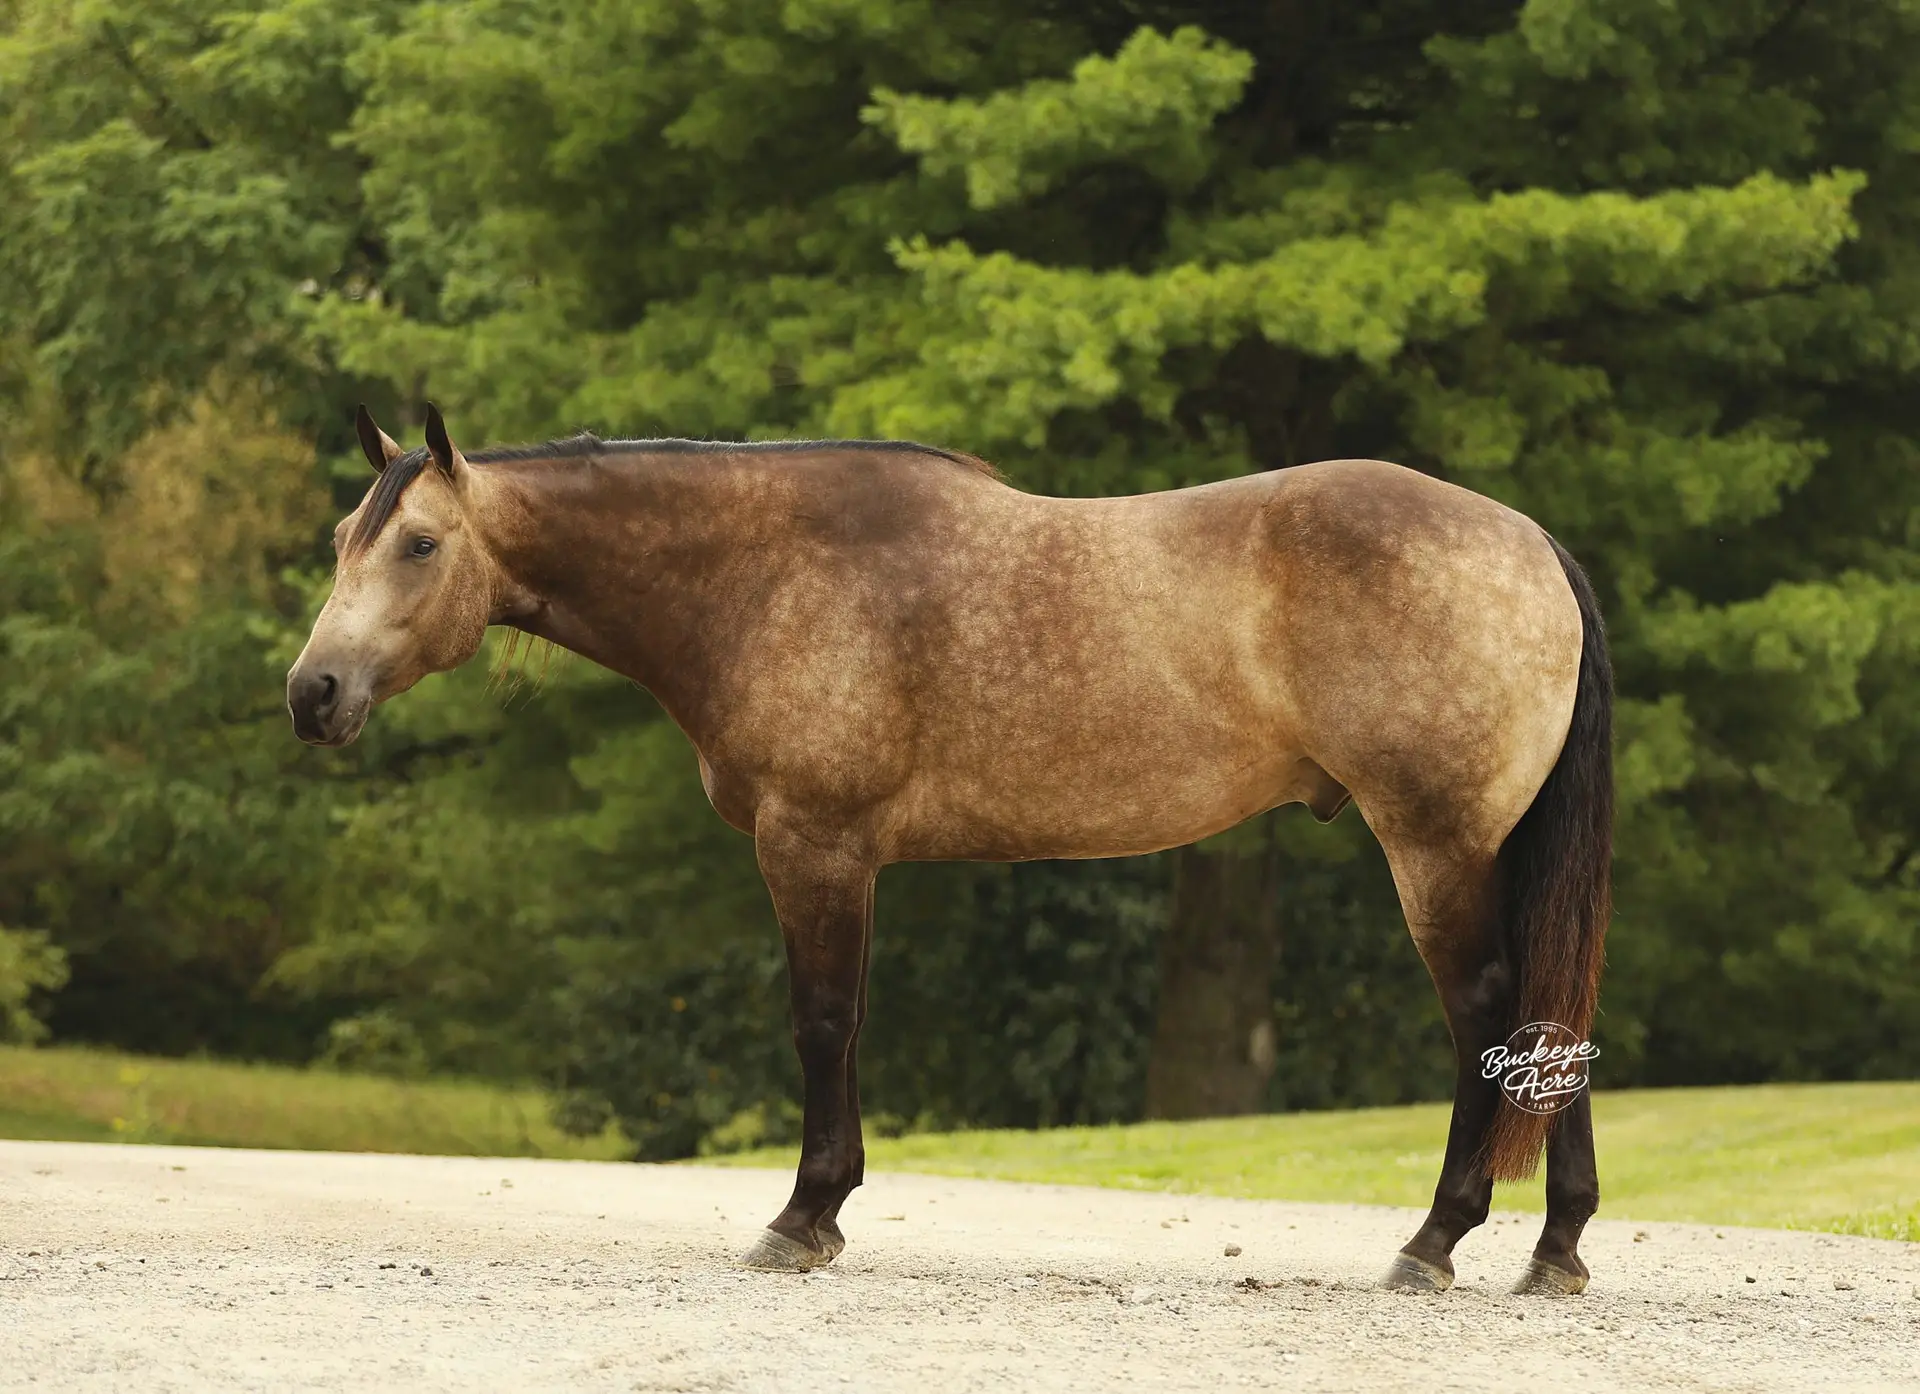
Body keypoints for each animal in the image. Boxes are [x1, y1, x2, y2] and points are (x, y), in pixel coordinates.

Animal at [288, 404, 1611, 1296]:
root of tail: (1533, 541)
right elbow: (849, 1020)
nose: (313, 693)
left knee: (1497, 1014)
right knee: (1551, 1019)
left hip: (1435, 848)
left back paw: (1436, 1240)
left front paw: (801, 1218)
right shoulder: (852, 859)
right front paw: (825, 1210)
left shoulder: (813, 845)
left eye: (417, 544)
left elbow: (822, 1022)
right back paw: (1555, 1246)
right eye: (346, 534)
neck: (767, 569)